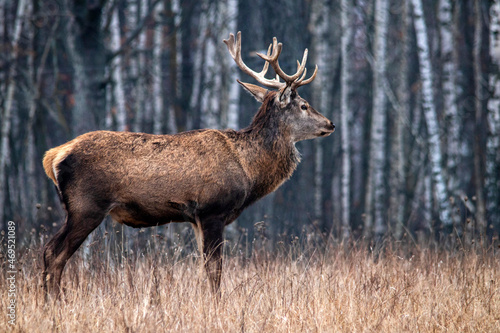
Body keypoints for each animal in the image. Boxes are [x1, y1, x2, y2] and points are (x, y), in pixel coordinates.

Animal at [41, 31, 334, 296]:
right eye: (304, 105)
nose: (330, 123)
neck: (249, 170)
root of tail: (52, 156)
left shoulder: (195, 218)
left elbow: (205, 267)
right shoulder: (212, 209)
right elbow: (215, 269)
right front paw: (216, 304)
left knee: (48, 249)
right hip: (86, 206)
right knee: (54, 252)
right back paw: (56, 302)